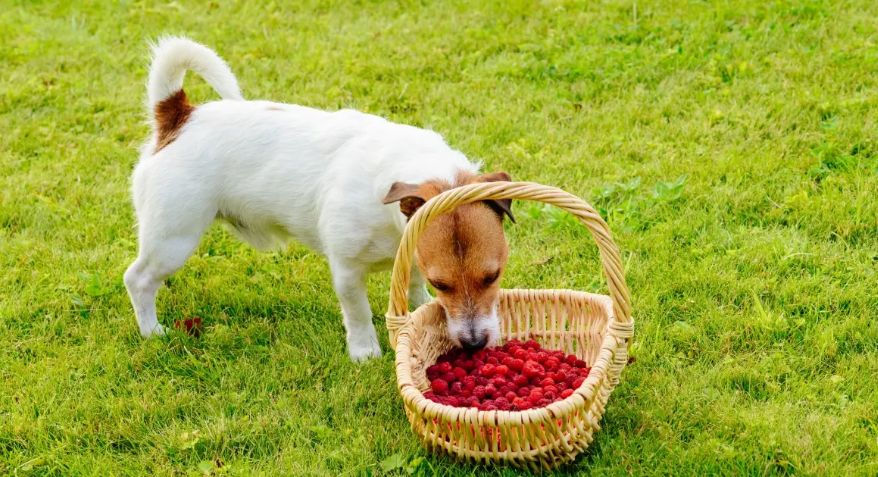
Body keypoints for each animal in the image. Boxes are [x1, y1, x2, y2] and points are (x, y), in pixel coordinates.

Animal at [124, 38, 516, 360]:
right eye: (443, 284)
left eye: (493, 276)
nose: (474, 344)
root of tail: (179, 116)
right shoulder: (346, 271)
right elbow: (358, 314)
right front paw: (365, 353)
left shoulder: (413, 251)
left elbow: (413, 287)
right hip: (173, 239)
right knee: (138, 279)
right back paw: (152, 331)